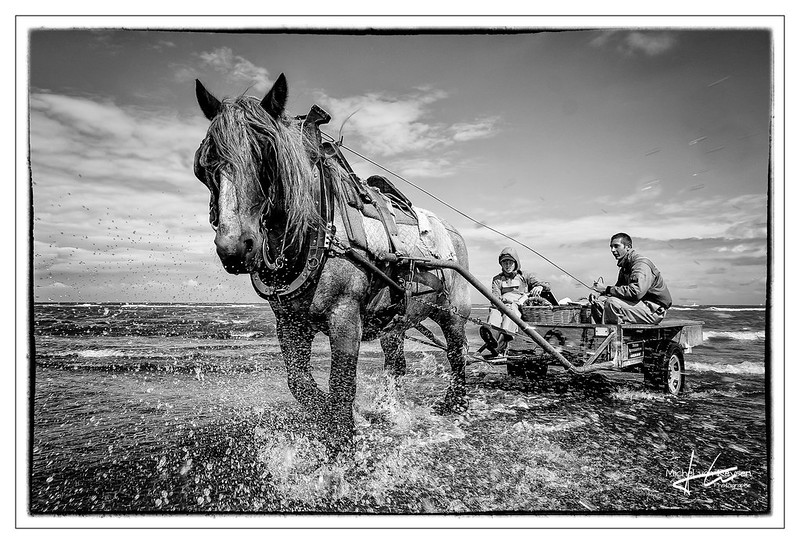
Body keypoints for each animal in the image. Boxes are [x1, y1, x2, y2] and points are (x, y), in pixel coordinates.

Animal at [193, 73, 471, 452]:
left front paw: (342, 442)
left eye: (267, 154)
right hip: (395, 322)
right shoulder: (290, 324)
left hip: (453, 312)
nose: (235, 247)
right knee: (396, 365)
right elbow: (300, 384)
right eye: (204, 165)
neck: (318, 234)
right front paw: (335, 418)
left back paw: (455, 404)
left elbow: (341, 386)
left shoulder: (345, 317)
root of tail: (453, 233)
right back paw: (390, 410)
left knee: (458, 354)